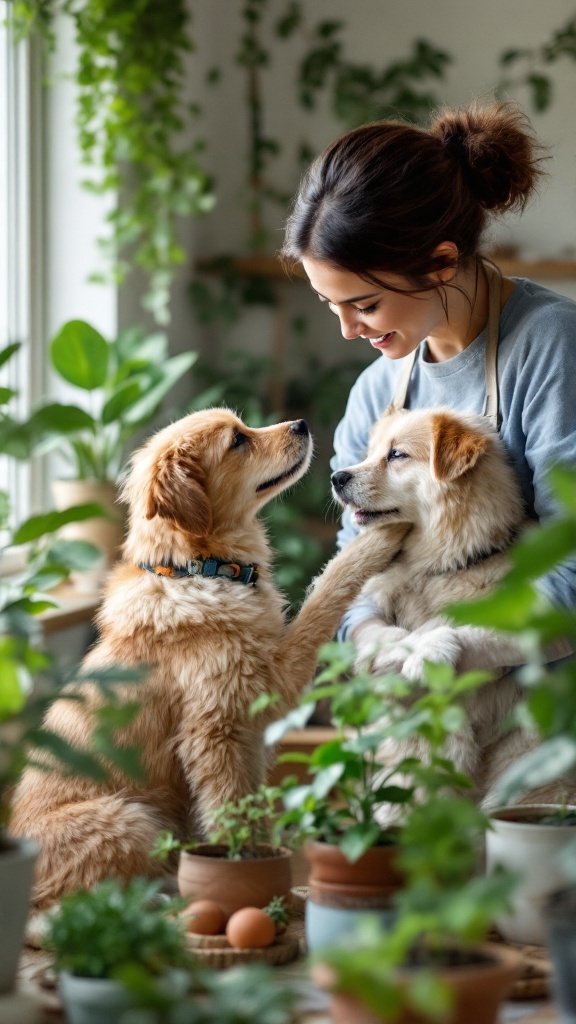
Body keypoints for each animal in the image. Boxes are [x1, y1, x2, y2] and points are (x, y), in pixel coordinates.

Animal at [12, 407, 407, 905]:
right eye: (237, 440)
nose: (301, 425)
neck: (198, 569)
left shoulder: (251, 723)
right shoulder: (229, 721)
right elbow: (327, 591)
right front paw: (383, 534)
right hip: (132, 819)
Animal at [330, 407, 565, 806]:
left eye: (397, 455)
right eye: (369, 452)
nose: (336, 477)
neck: (447, 562)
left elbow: (446, 623)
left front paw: (427, 651)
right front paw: (398, 650)